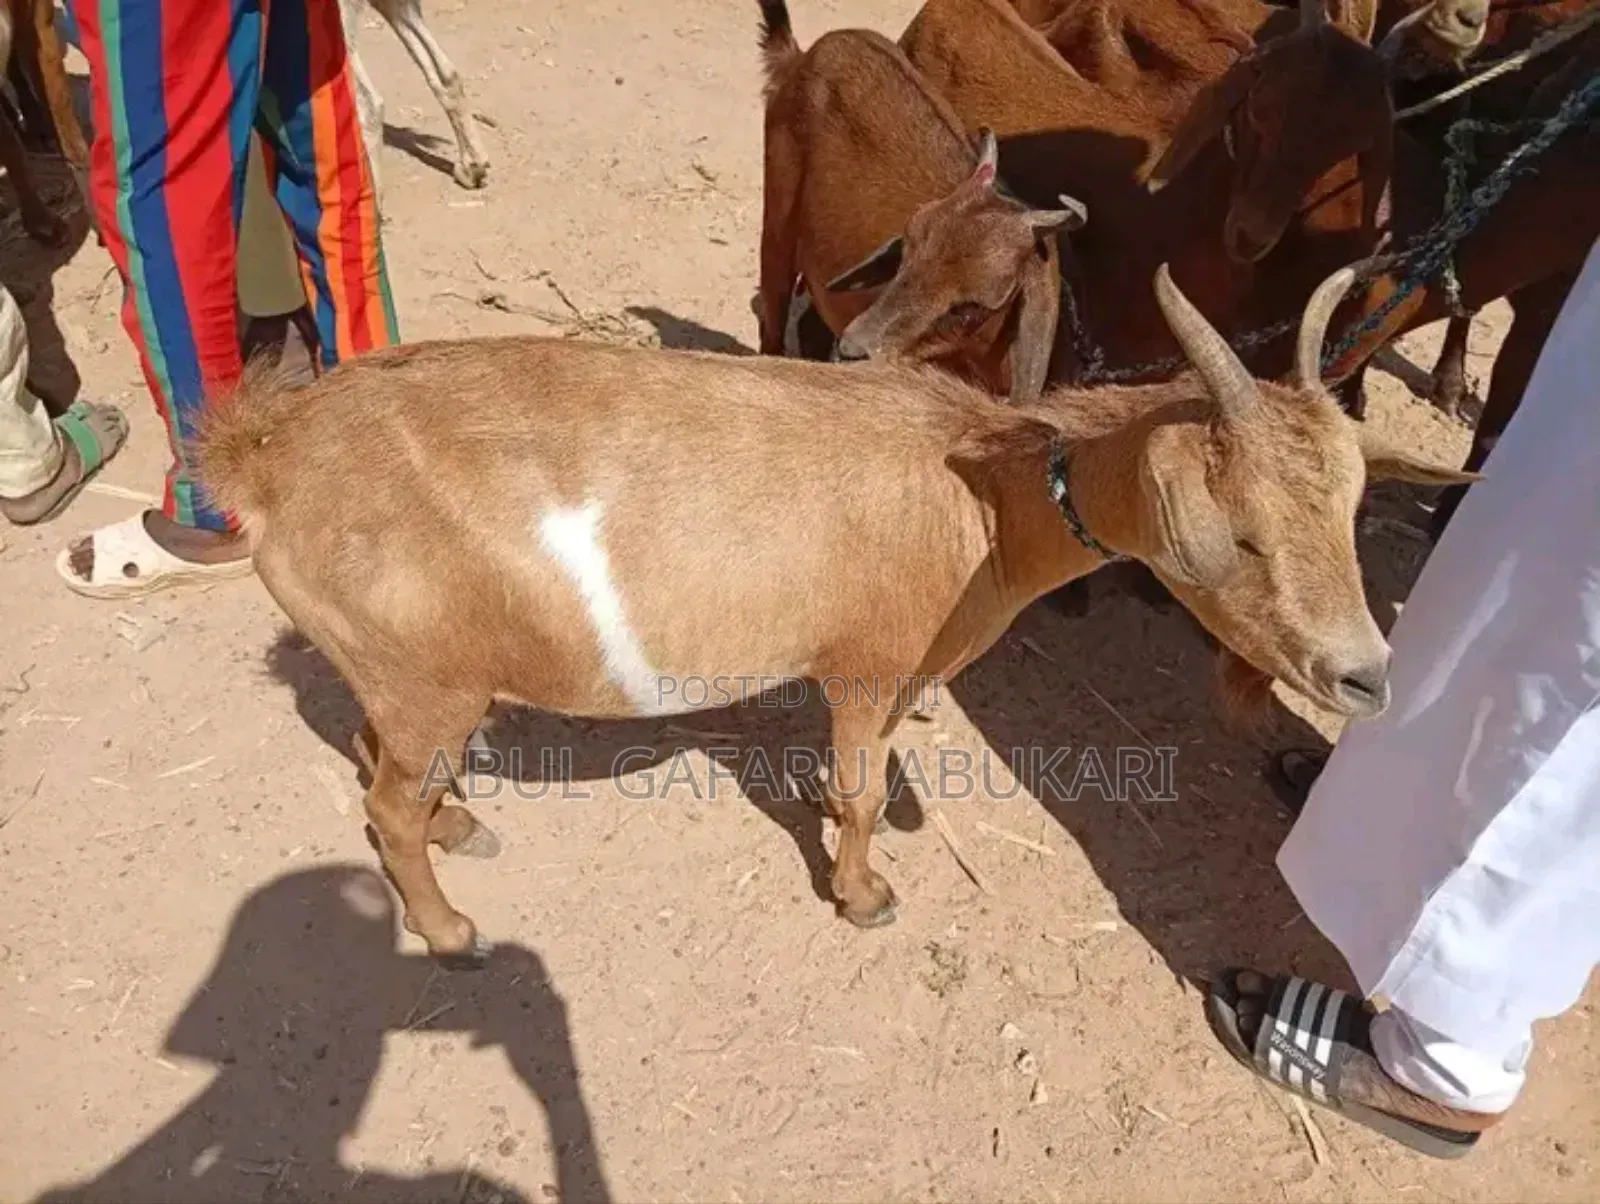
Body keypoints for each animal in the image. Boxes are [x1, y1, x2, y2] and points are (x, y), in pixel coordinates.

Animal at [196, 262, 1473, 960]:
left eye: (1351, 508)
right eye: (1242, 532)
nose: (1365, 676)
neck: (984, 497)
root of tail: (270, 458)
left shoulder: (897, 669)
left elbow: (869, 767)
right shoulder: (862, 664)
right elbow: (863, 787)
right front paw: (862, 894)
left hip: (402, 672)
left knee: (373, 755)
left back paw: (458, 825)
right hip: (429, 678)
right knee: (384, 799)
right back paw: (452, 929)